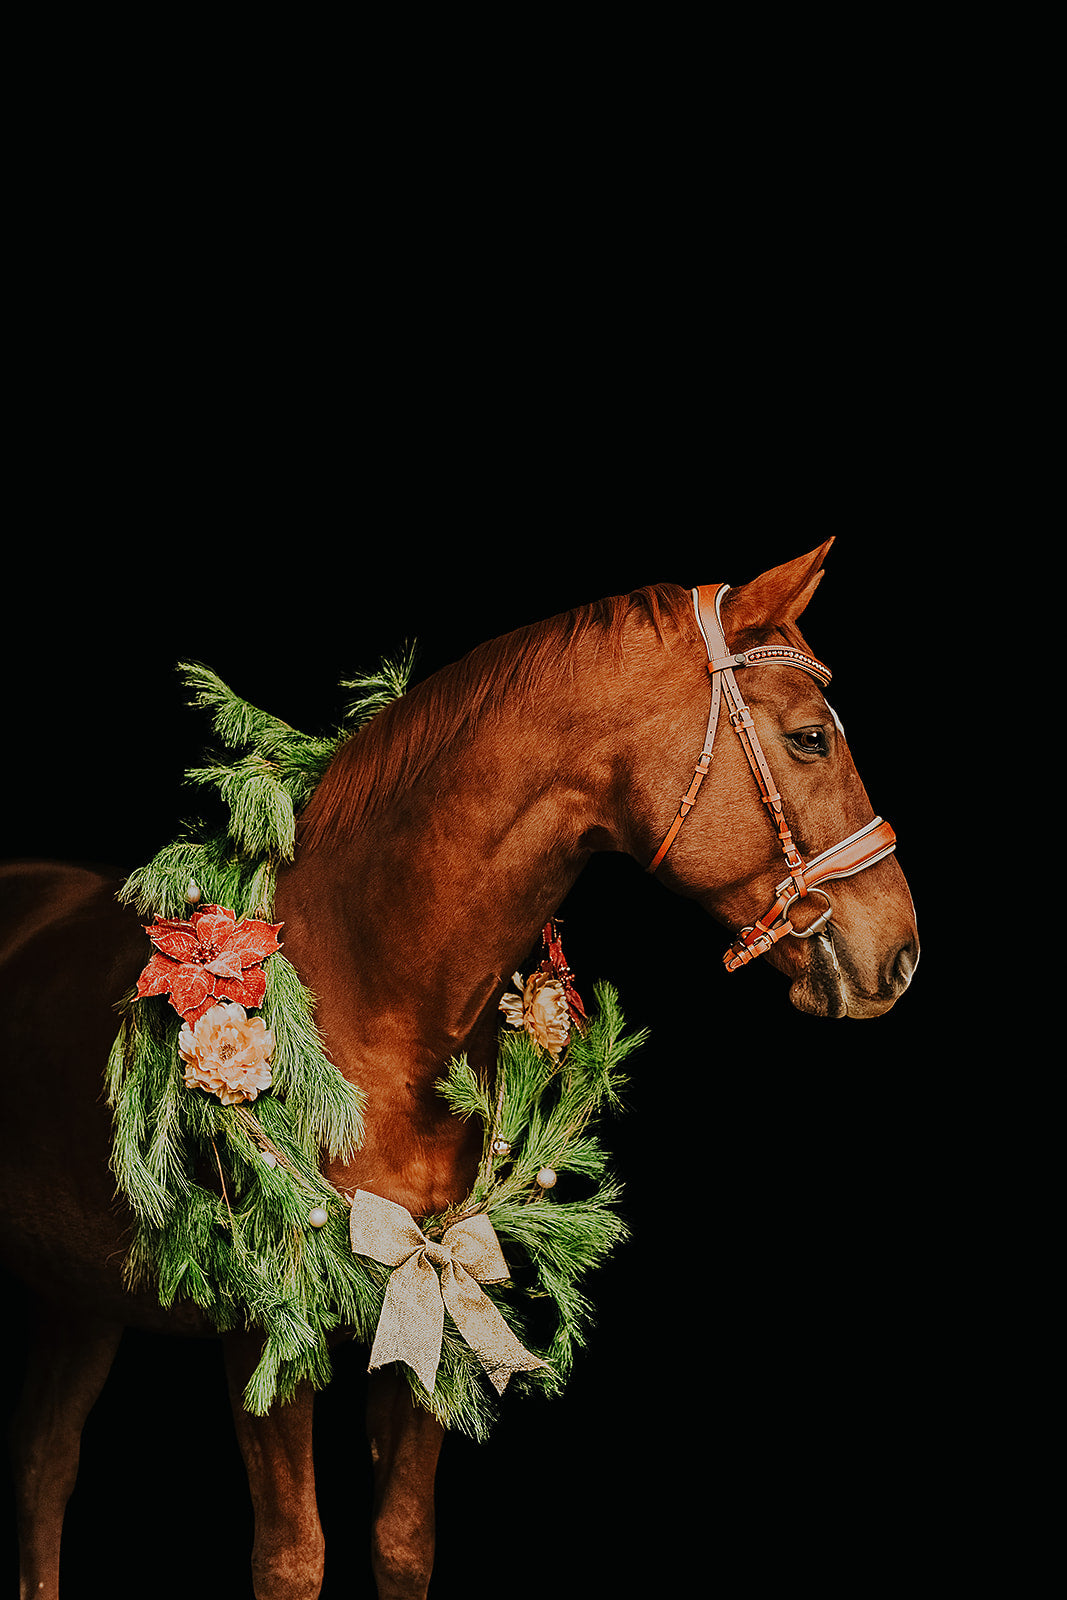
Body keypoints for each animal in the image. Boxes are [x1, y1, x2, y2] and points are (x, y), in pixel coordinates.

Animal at [0, 544, 921, 1593]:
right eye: (809, 739)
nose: (899, 953)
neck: (366, 980)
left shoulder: (434, 1290)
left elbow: (403, 1542)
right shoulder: (264, 1329)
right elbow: (292, 1558)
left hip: (74, 1302)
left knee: (44, 1468)